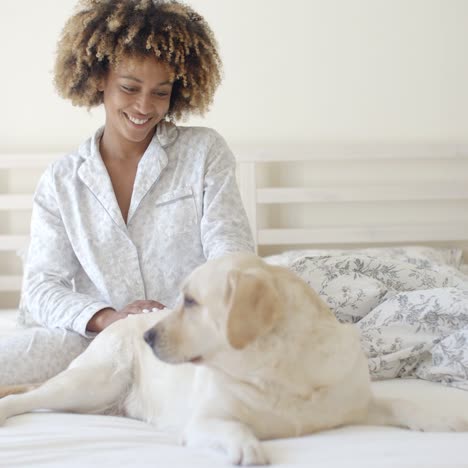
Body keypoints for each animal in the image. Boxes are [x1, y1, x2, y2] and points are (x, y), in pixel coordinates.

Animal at [0, 252, 468, 464]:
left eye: (190, 302)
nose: (148, 335)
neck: (282, 370)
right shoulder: (204, 419)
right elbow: (231, 425)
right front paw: (247, 446)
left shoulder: (356, 401)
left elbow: (400, 402)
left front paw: (442, 420)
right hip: (93, 382)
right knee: (29, 396)